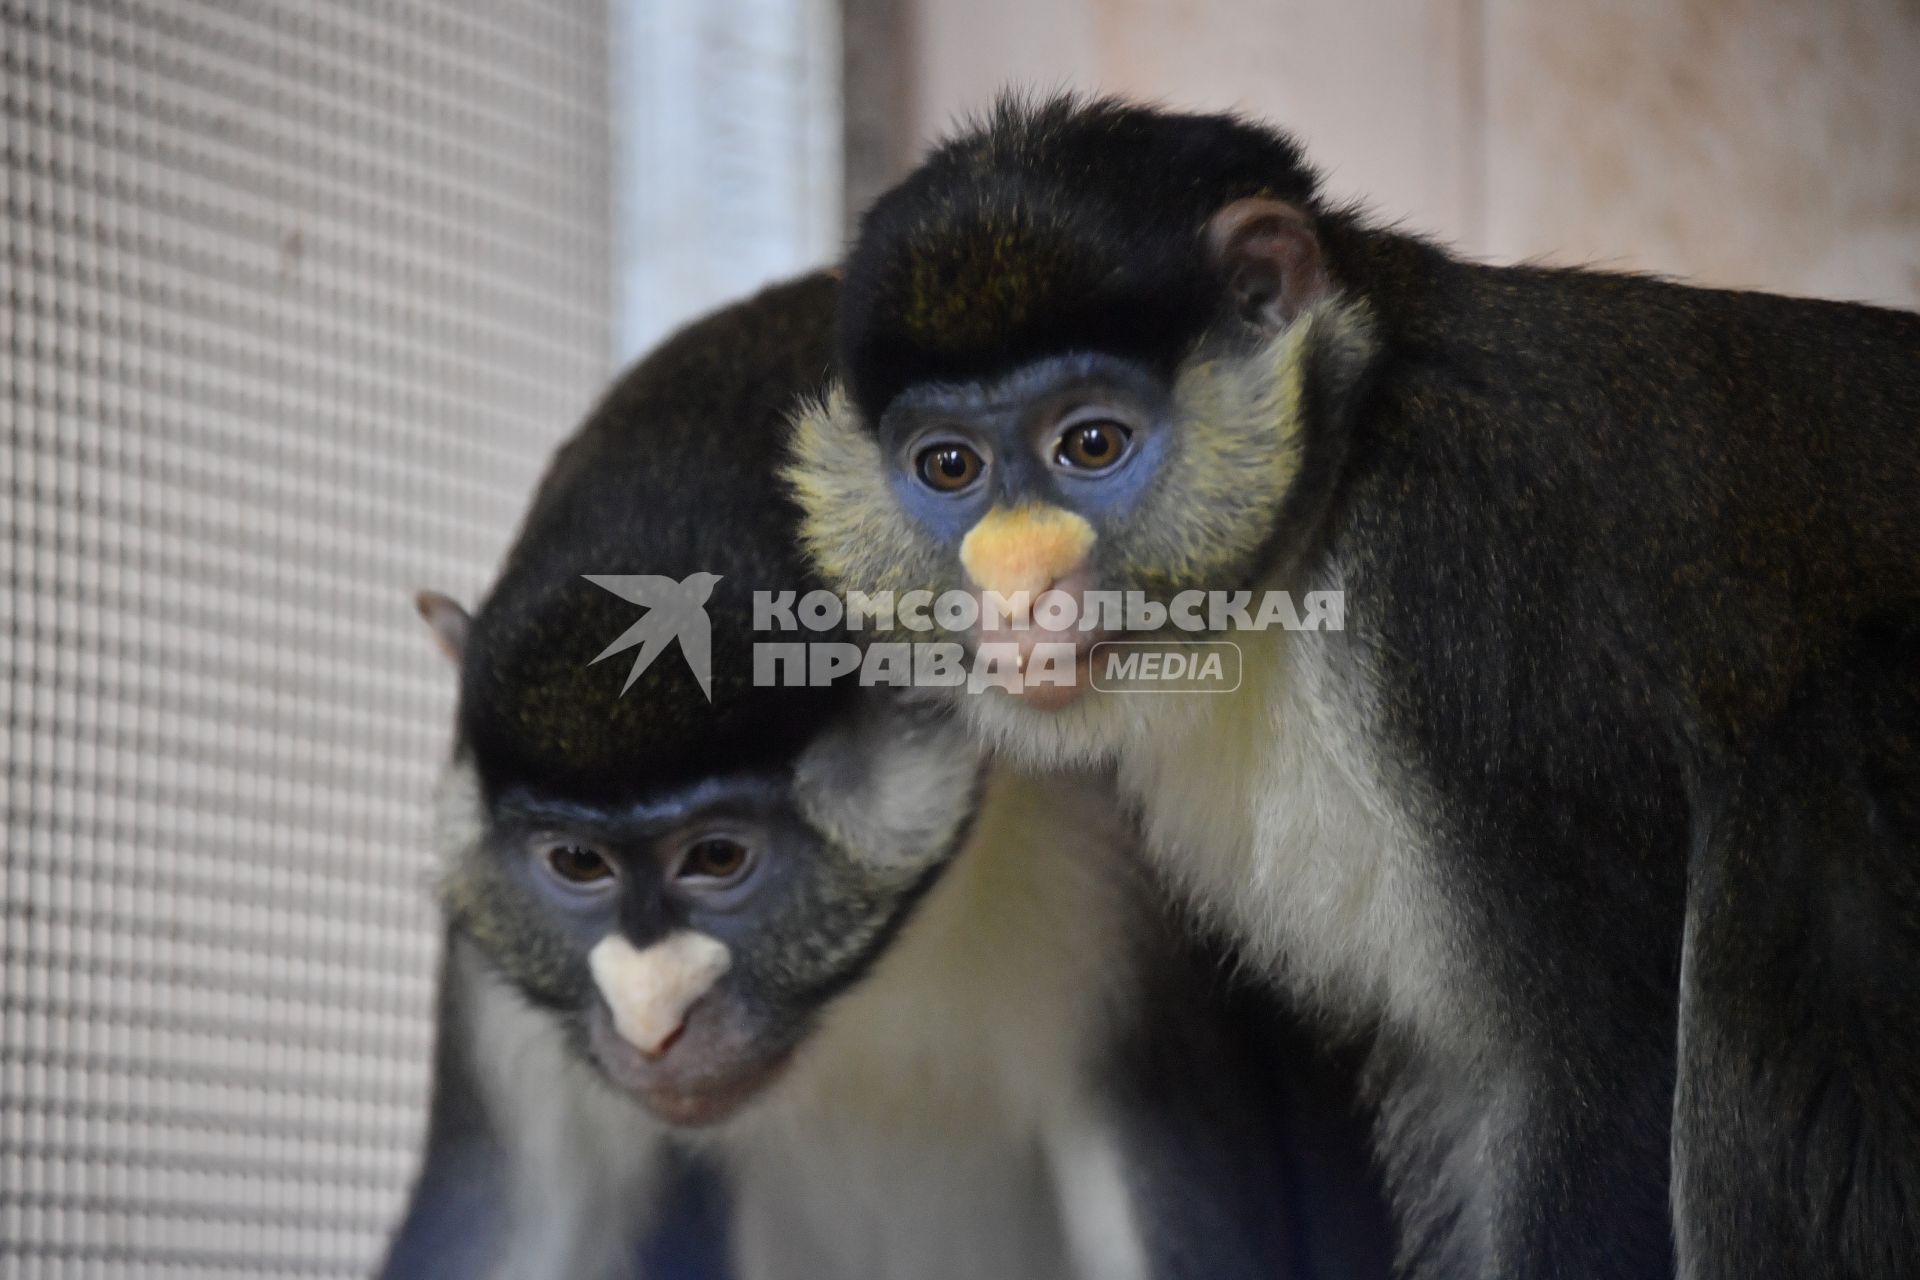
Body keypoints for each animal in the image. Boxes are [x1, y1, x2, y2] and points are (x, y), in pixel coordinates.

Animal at [791, 92, 1920, 1280]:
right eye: (949, 466)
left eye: (1090, 443)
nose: (1019, 589)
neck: (1324, 504)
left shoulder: (1460, 596)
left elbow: (1595, 1051)